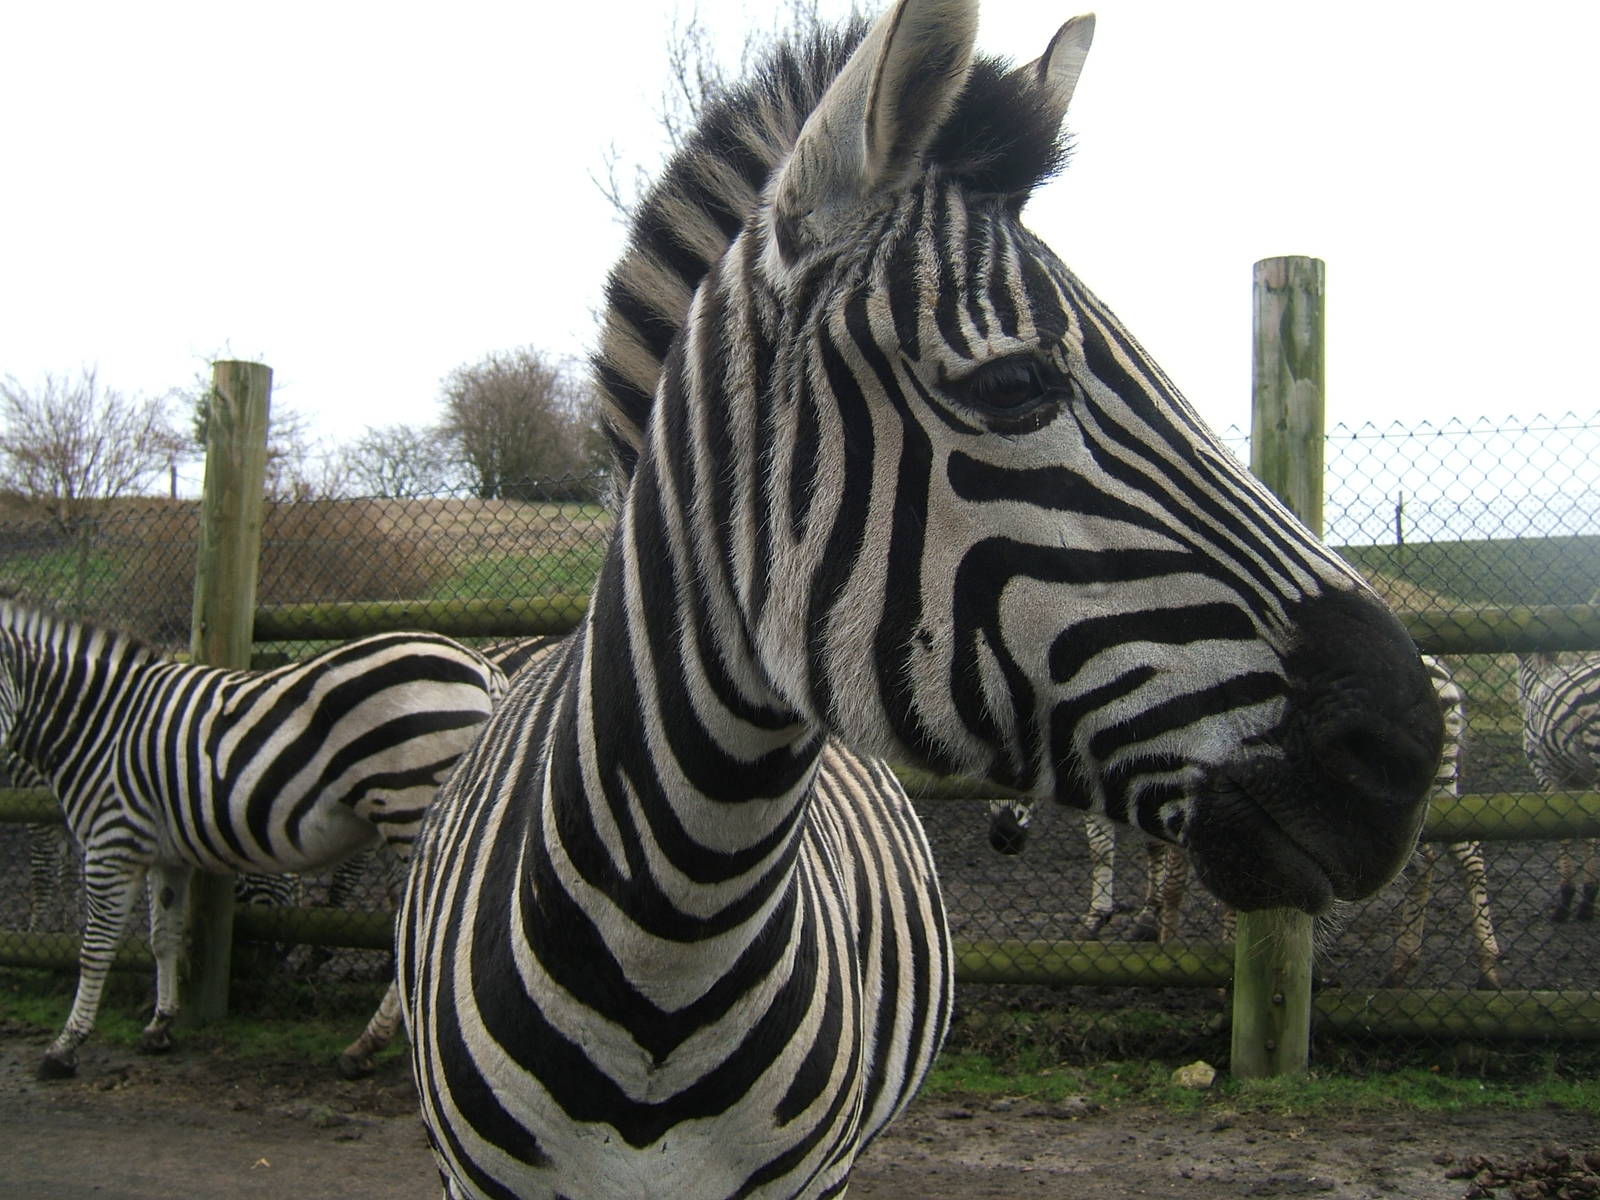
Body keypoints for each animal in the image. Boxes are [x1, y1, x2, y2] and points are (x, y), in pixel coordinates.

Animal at [0, 595, 506, 1080]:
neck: (100, 724)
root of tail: (482, 666)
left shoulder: (112, 840)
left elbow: (95, 947)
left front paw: (65, 1047)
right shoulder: (164, 853)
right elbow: (164, 937)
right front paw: (160, 1025)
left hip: (412, 808)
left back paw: (372, 1046)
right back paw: (371, 1048)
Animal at [1518, 651, 1600, 922]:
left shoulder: (1546, 773)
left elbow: (1561, 831)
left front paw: (1565, 900)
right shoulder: (1585, 782)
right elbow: (1587, 834)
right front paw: (1588, 898)